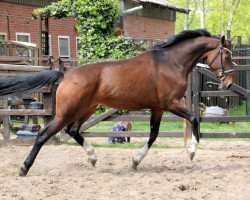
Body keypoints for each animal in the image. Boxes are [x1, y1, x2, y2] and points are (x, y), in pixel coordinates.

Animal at [0, 28, 234, 176]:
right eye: (227, 56)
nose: (229, 82)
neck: (171, 62)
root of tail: (65, 74)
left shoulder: (157, 107)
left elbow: (153, 135)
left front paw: (135, 161)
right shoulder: (170, 103)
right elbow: (194, 118)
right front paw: (192, 152)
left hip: (87, 109)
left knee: (73, 131)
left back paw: (93, 157)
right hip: (67, 111)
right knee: (44, 134)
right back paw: (24, 168)